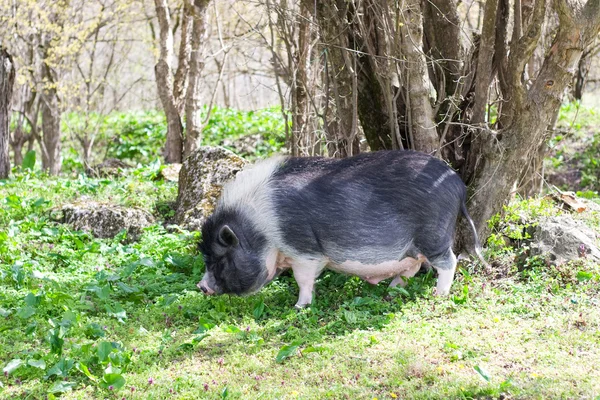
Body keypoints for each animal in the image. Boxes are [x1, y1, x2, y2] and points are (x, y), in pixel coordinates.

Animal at [199, 150, 486, 310]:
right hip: (413, 247)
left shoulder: (305, 250)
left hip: (434, 235)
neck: (260, 231)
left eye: (221, 258)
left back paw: (439, 294)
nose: (202, 286)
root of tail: (458, 185)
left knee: (448, 262)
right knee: (412, 268)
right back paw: (390, 292)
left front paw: (299, 307)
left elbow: (303, 280)